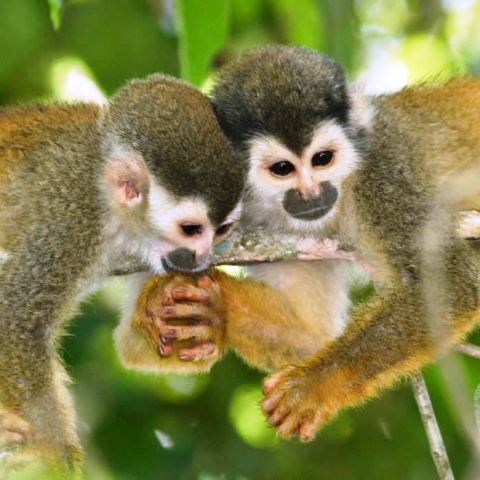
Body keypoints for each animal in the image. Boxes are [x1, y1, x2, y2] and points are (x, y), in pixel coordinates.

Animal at [0, 76, 244, 472]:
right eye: (191, 230)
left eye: (221, 230)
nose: (202, 257)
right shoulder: (70, 221)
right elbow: (16, 320)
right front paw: (51, 456)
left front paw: (187, 314)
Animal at [118, 45, 480, 442]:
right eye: (282, 169)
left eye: (322, 159)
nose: (312, 193)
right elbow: (310, 330)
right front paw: (215, 311)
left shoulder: (382, 177)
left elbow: (451, 285)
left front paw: (314, 386)